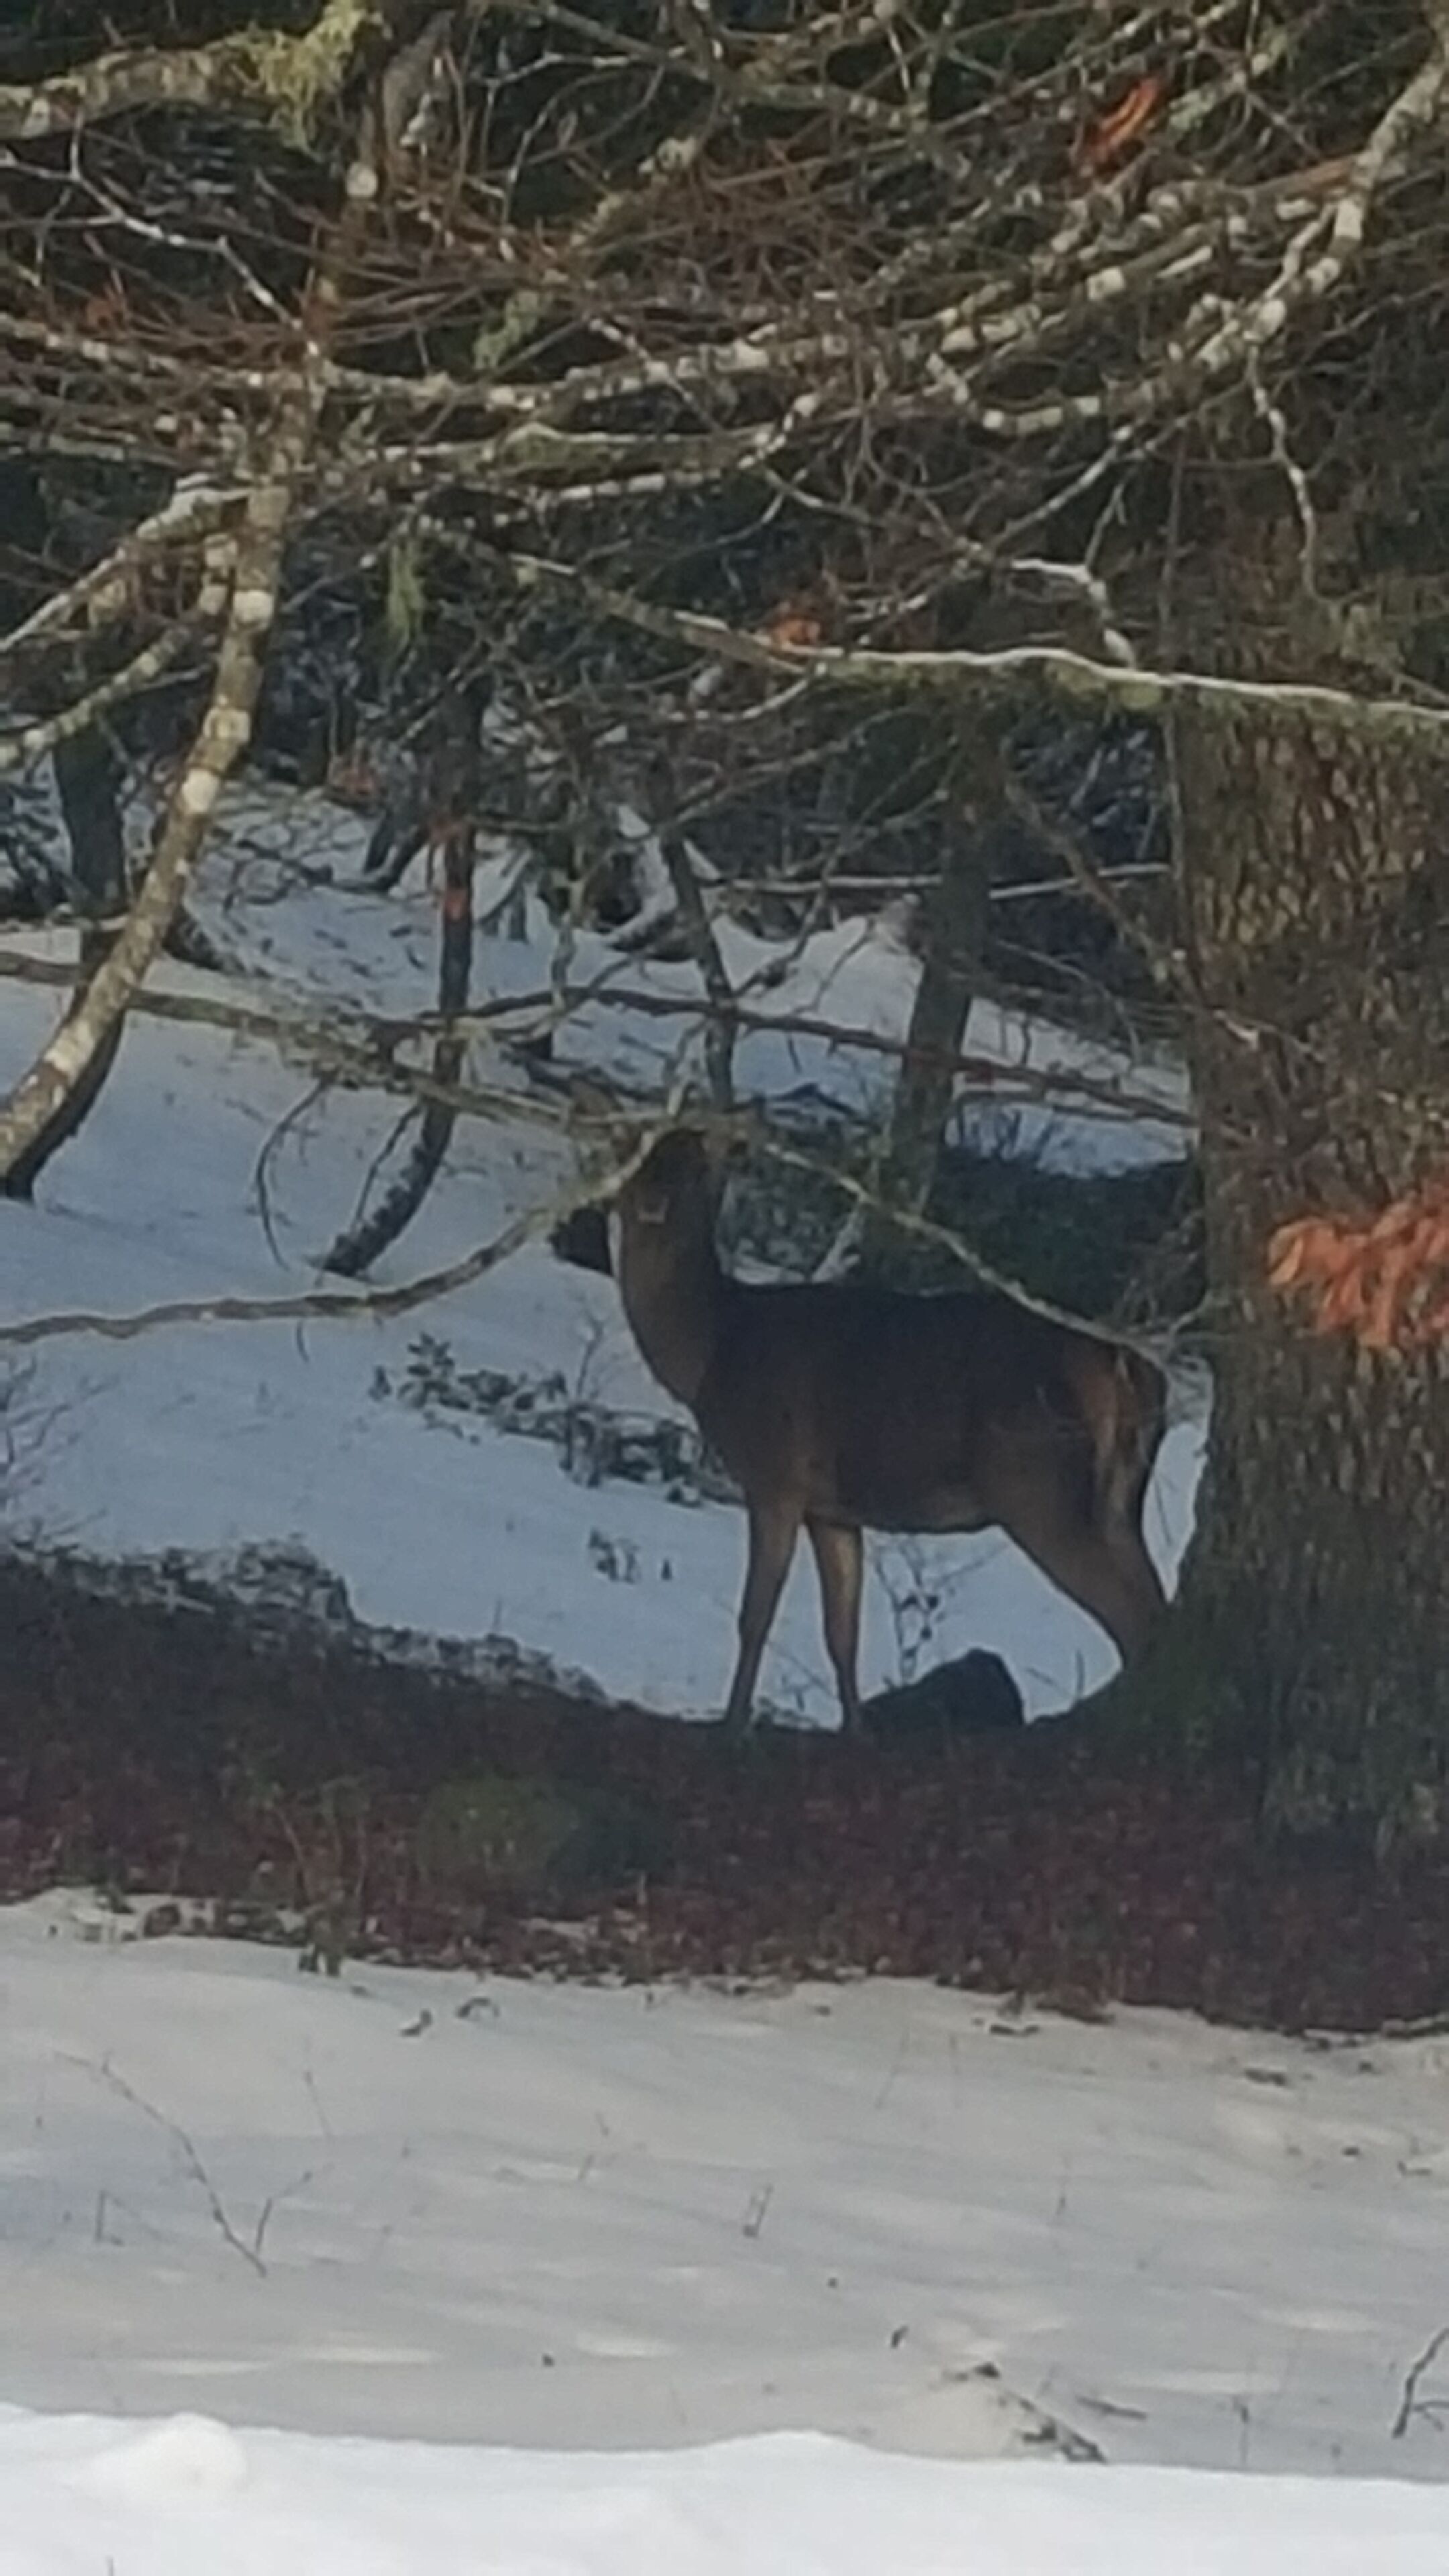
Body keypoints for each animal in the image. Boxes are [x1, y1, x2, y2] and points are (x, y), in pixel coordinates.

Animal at [614, 1126, 1168, 1735]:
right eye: (635, 1154)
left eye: (696, 1169)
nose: (652, 1203)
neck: (712, 1350)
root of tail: (1130, 1371)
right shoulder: (833, 1509)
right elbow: (843, 1632)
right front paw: (857, 1732)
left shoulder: (775, 1476)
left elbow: (755, 1616)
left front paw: (733, 1727)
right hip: (1117, 1504)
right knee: (1156, 1606)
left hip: (1037, 1485)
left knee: (1136, 1622)